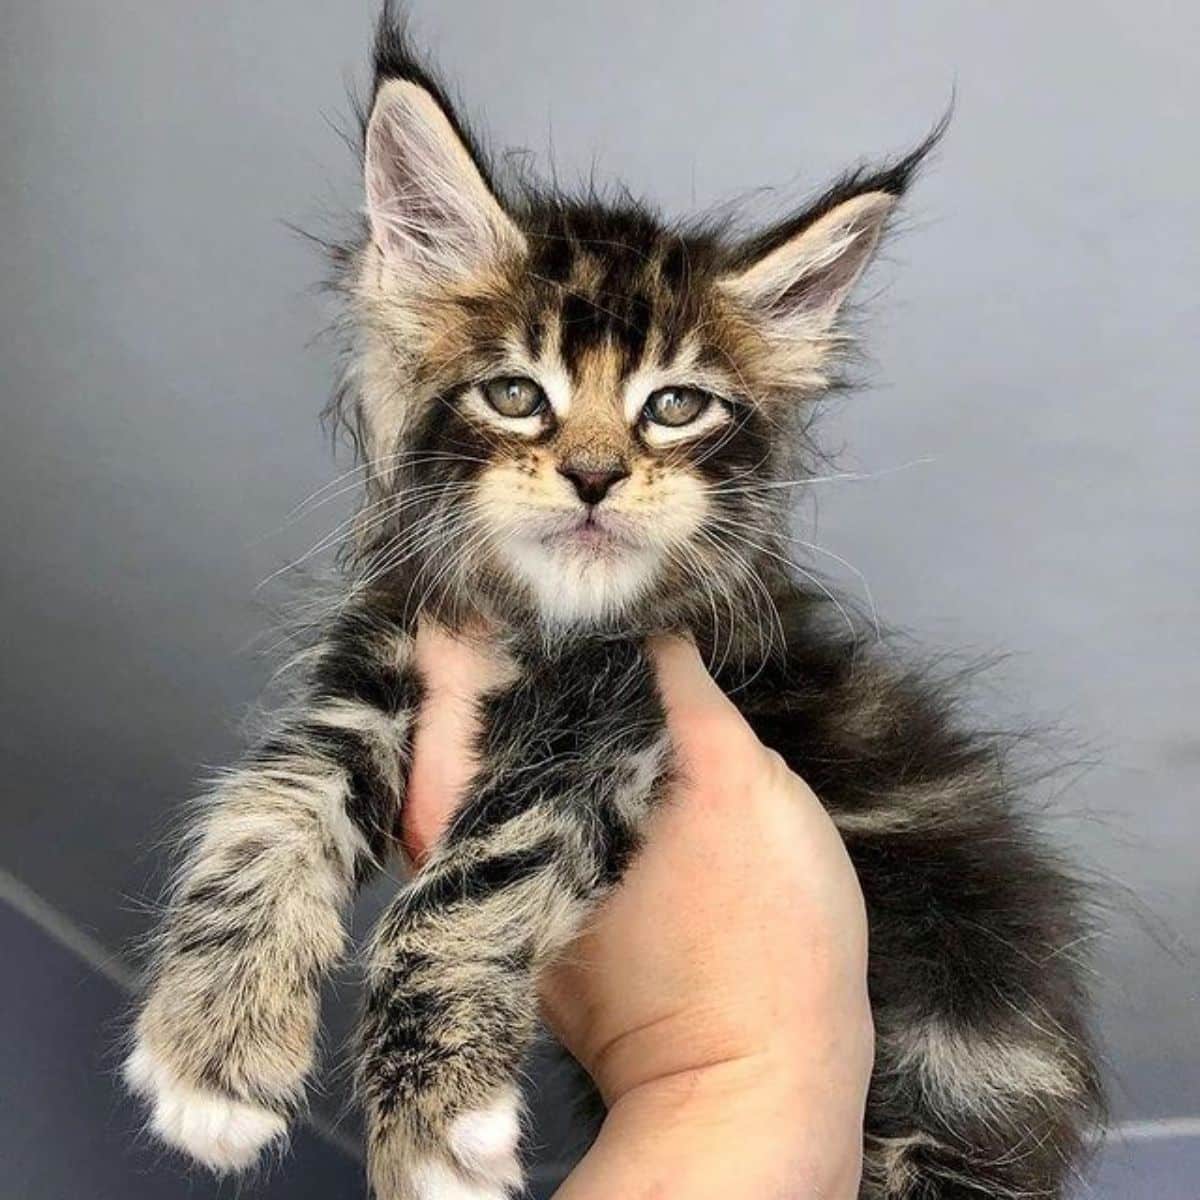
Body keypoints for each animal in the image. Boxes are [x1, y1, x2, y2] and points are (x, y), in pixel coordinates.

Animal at [126, 9, 1099, 1200]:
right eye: (515, 394)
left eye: (675, 407)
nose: (593, 476)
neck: (540, 626)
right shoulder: (381, 649)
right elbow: (270, 805)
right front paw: (210, 1052)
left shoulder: (614, 703)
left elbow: (478, 872)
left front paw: (435, 1119)